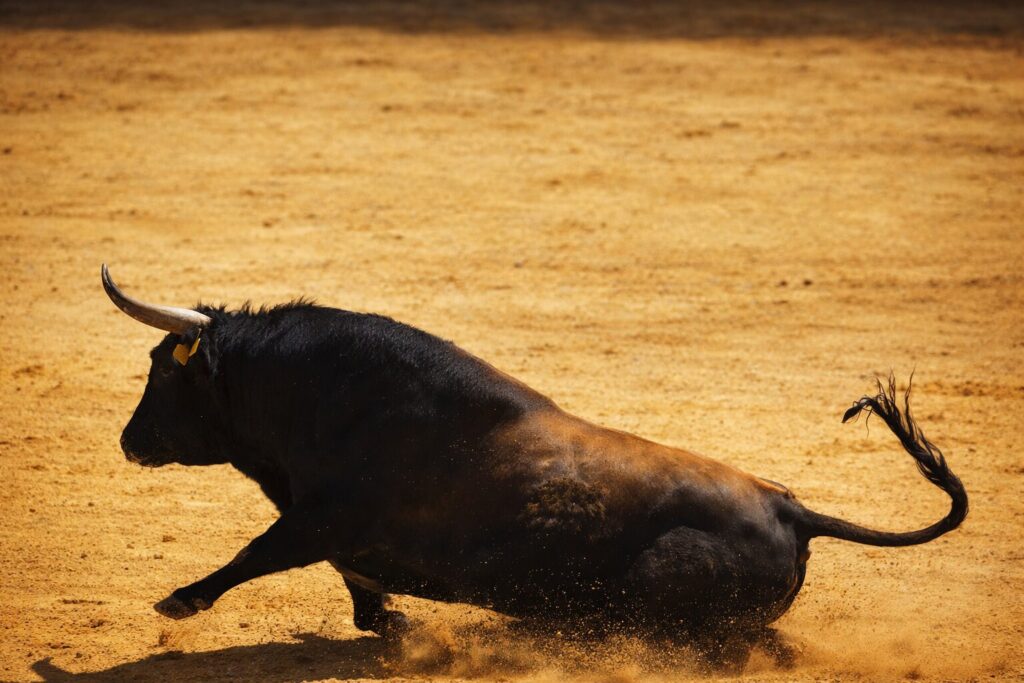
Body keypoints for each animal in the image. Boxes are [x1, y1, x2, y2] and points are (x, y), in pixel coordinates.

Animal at [101, 264, 967, 671]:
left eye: (164, 371)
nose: (129, 441)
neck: (323, 394)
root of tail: (791, 507)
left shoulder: (318, 518)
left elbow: (257, 551)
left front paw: (179, 600)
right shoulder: (340, 535)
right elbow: (361, 594)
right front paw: (400, 624)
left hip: (670, 607)